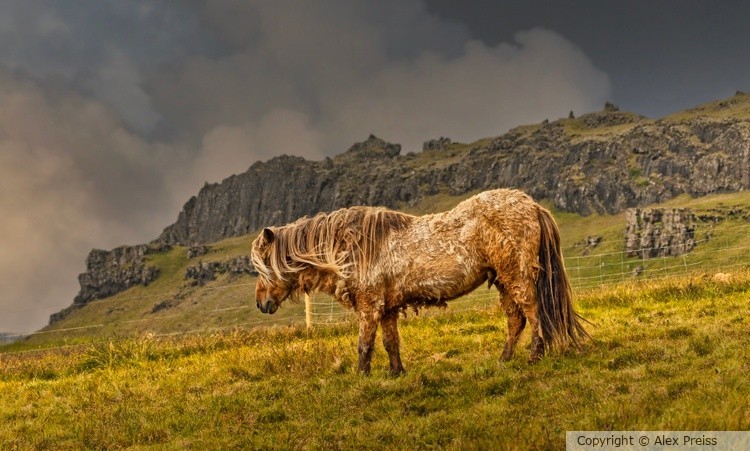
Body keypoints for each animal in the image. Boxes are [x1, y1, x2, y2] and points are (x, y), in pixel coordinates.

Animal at [251, 189, 588, 375]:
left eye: (263, 264)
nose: (261, 303)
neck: (351, 246)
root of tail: (531, 204)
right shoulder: (387, 308)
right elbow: (390, 342)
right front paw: (396, 373)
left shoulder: (369, 307)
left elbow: (364, 345)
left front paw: (362, 377)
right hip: (504, 280)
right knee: (515, 320)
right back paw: (503, 360)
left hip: (516, 275)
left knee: (532, 313)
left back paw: (534, 355)